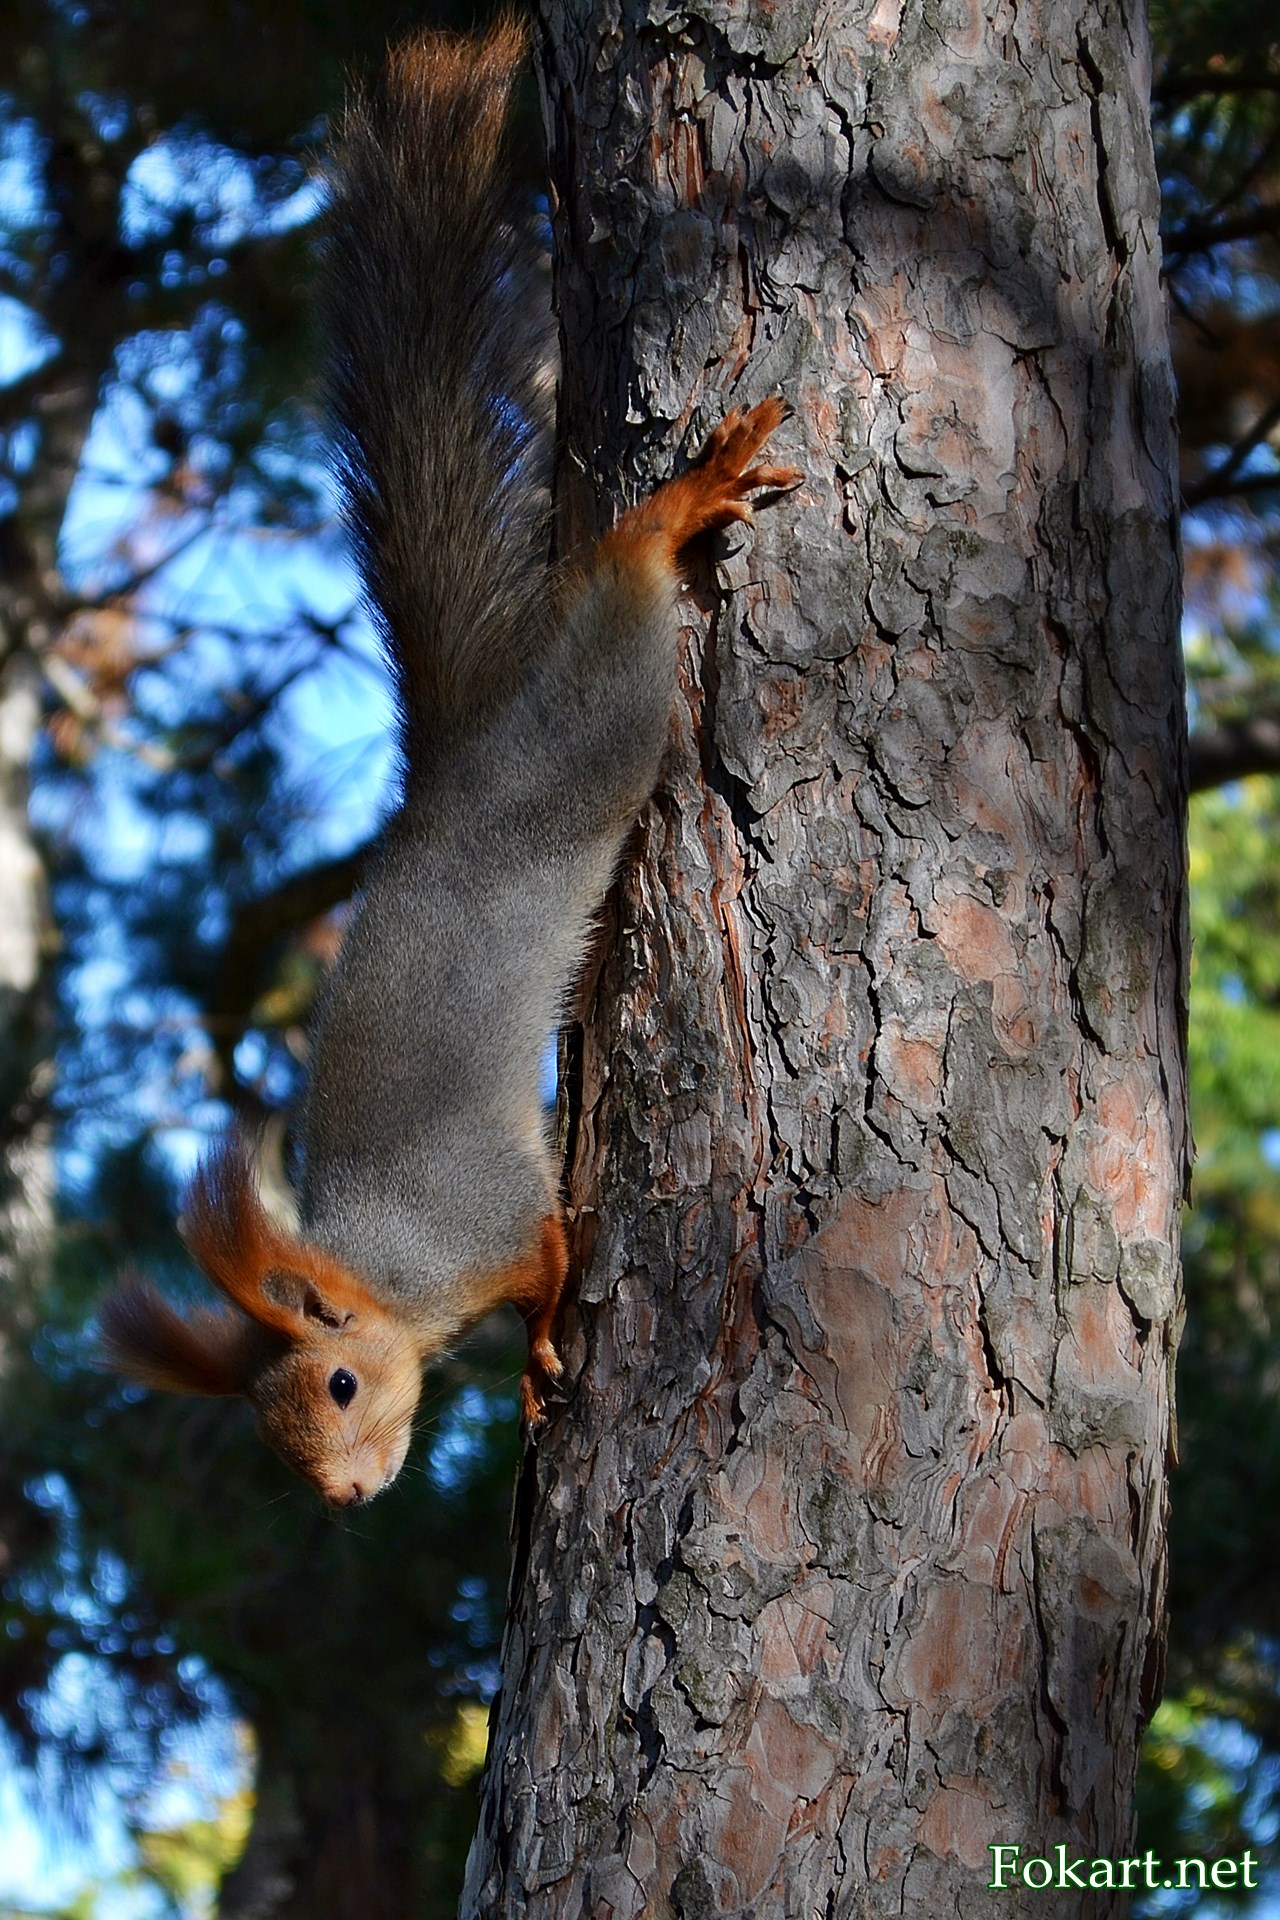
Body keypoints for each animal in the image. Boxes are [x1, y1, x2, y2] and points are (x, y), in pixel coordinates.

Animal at [98, 18, 801, 1507]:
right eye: (276, 1443)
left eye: (341, 1384)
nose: (346, 1497)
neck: (385, 1267)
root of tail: (454, 775)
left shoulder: (490, 1211)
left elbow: (549, 1262)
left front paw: (538, 1355)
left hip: (589, 739)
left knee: (621, 608)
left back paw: (673, 513)